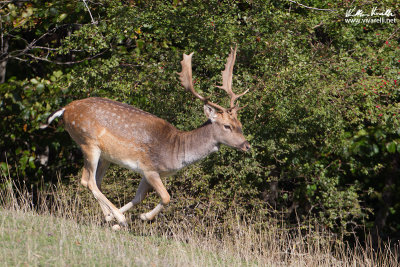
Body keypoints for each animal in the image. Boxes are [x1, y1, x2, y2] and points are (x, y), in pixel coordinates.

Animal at [43, 46, 250, 228]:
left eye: (240, 124)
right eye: (227, 126)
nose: (247, 145)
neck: (175, 151)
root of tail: (65, 109)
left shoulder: (147, 172)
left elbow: (138, 197)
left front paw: (116, 220)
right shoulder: (149, 168)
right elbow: (166, 197)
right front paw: (139, 217)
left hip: (105, 156)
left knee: (95, 181)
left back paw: (111, 216)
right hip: (88, 142)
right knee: (88, 181)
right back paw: (119, 218)